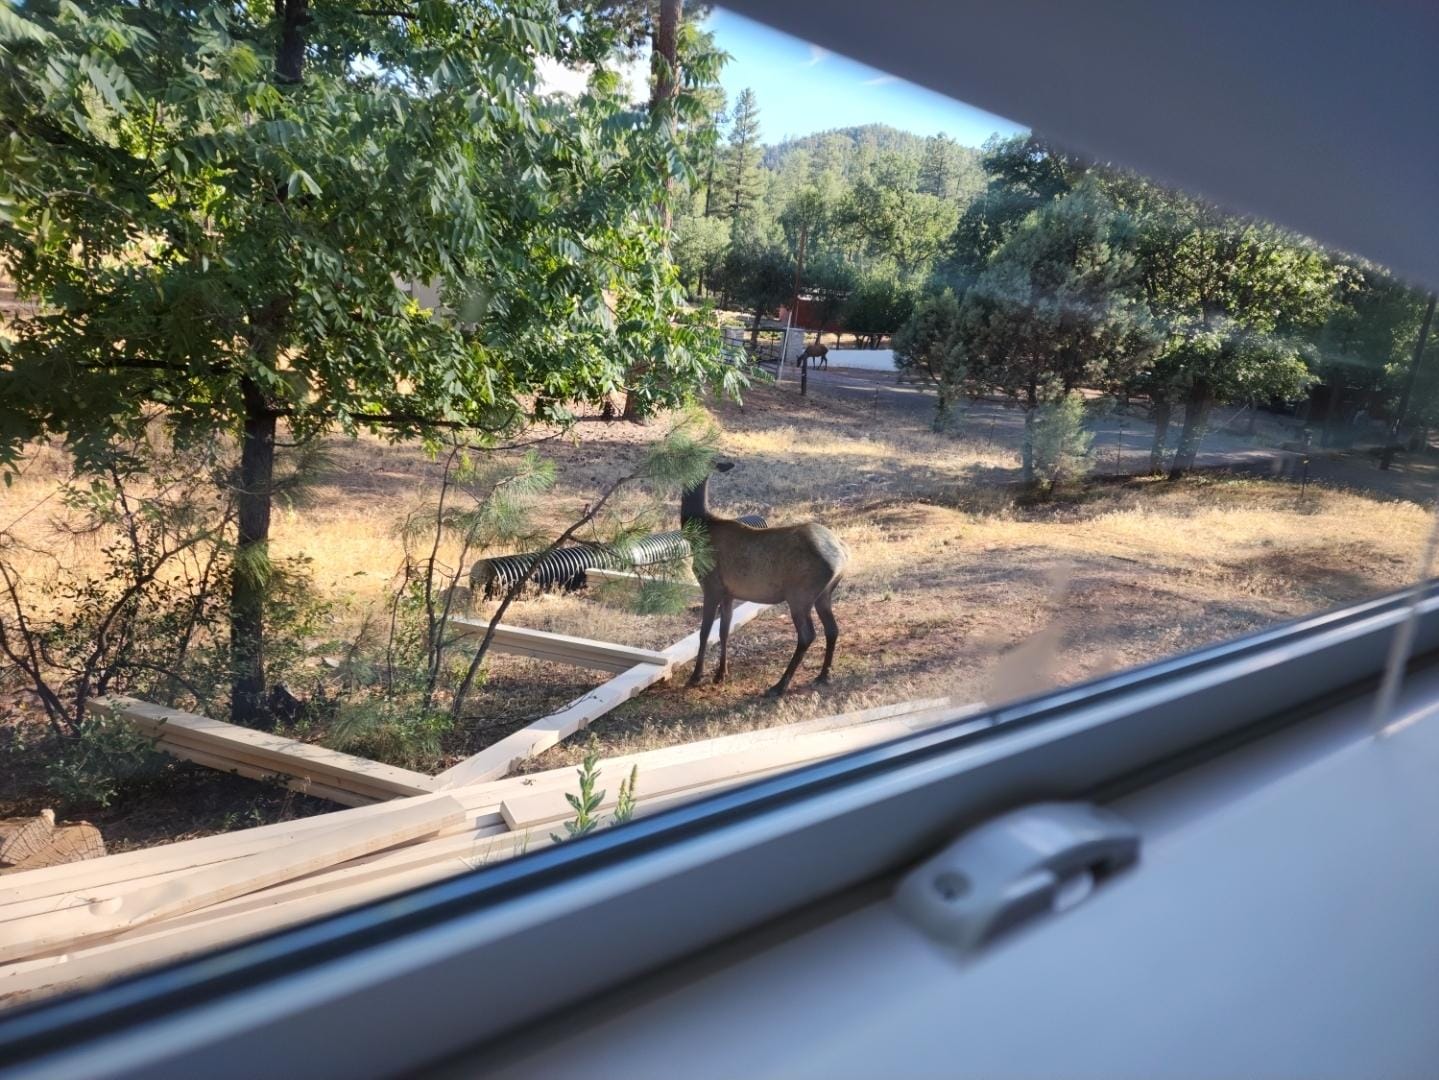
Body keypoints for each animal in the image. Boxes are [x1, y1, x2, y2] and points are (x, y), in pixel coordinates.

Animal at [681, 461, 848, 696]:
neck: (701, 529)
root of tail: (842, 554)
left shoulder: (711, 584)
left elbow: (704, 632)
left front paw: (696, 676)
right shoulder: (729, 592)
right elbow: (724, 631)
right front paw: (721, 674)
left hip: (800, 594)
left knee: (807, 635)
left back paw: (780, 685)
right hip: (823, 594)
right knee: (832, 629)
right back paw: (824, 675)